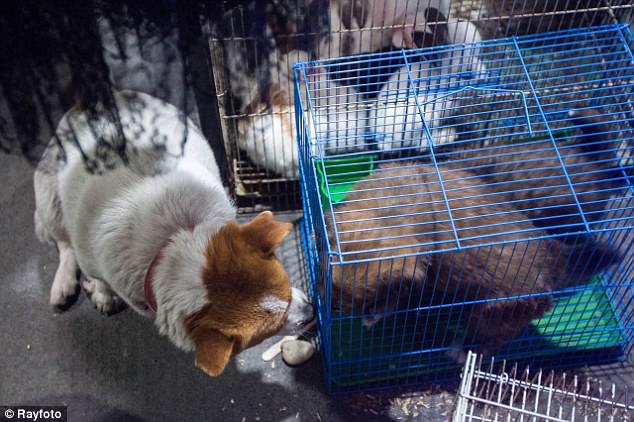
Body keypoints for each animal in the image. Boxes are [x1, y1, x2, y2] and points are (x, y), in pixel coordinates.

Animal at [32, 89, 314, 376]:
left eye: (285, 282)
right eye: (270, 328)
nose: (312, 310)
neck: (174, 236)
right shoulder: (90, 256)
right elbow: (98, 277)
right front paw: (102, 293)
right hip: (48, 198)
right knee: (62, 242)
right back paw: (63, 283)